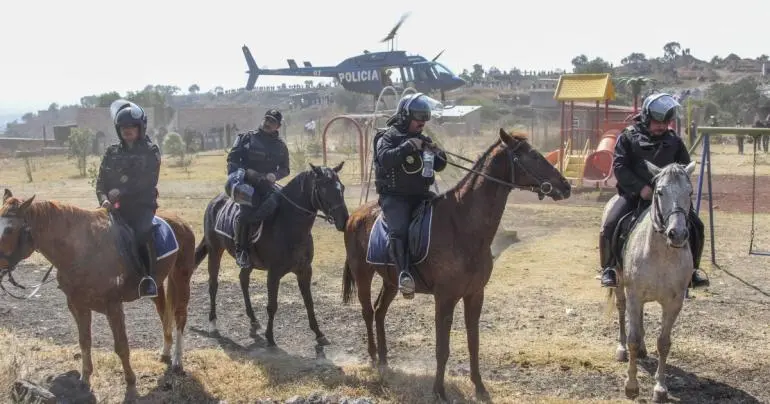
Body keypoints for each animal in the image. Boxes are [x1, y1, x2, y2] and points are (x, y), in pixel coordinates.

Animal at [0, 189, 196, 392]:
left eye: (9, 230)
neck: (84, 250)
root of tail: (180, 221)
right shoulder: (78, 305)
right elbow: (85, 341)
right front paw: (85, 379)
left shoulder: (113, 306)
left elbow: (121, 346)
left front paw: (130, 379)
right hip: (157, 284)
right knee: (164, 312)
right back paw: (165, 352)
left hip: (181, 278)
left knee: (180, 315)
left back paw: (177, 361)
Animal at [192, 163, 348, 346]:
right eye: (323, 188)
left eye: (342, 187)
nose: (344, 220)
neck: (288, 224)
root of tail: (214, 202)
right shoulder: (274, 274)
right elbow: (272, 305)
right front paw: (270, 337)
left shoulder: (305, 271)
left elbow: (309, 302)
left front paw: (319, 334)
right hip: (215, 250)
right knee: (213, 285)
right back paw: (213, 323)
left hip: (248, 262)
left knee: (243, 280)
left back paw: (253, 320)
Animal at [342, 129, 568, 400]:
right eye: (531, 156)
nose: (566, 186)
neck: (462, 225)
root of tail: (355, 215)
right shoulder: (445, 298)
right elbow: (443, 348)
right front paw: (439, 391)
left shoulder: (475, 294)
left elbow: (473, 343)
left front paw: (479, 387)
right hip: (363, 274)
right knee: (367, 311)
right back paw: (374, 358)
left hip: (391, 282)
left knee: (379, 311)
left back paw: (386, 362)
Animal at [604, 160, 700, 400]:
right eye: (660, 192)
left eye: (689, 192)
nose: (677, 234)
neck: (662, 254)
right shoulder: (634, 296)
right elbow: (632, 338)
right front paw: (631, 385)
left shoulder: (674, 303)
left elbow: (664, 343)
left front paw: (660, 388)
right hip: (620, 284)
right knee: (622, 311)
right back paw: (621, 349)